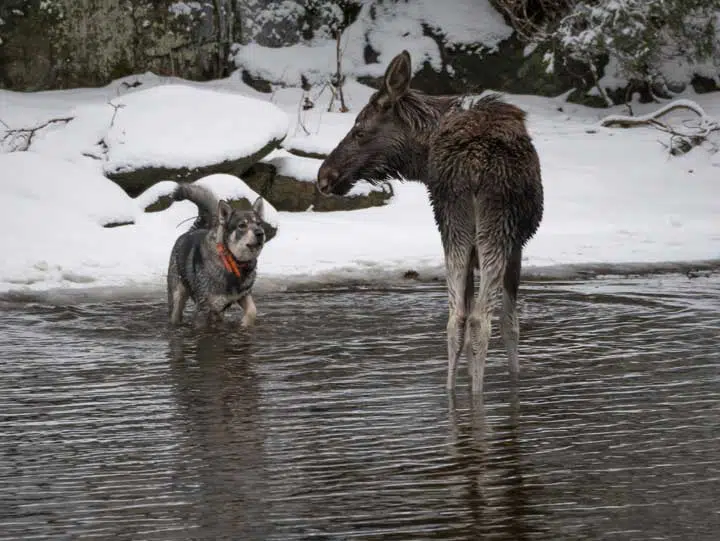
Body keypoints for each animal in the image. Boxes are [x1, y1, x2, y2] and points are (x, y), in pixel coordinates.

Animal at [167, 184, 268, 326]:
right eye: (242, 225)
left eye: (259, 223)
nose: (260, 233)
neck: (231, 261)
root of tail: (191, 231)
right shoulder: (203, 309)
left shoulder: (243, 295)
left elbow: (253, 310)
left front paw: (244, 323)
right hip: (177, 298)